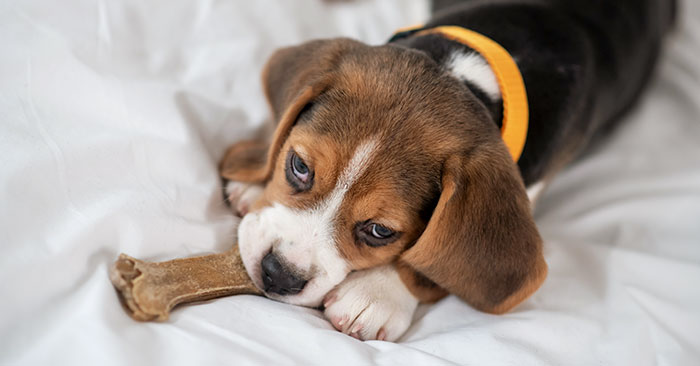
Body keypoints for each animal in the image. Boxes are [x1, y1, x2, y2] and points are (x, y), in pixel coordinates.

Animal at [217, 0, 672, 340]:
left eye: (380, 231)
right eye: (298, 166)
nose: (278, 275)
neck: (469, 73)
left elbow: (431, 256)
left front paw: (377, 295)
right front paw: (253, 179)